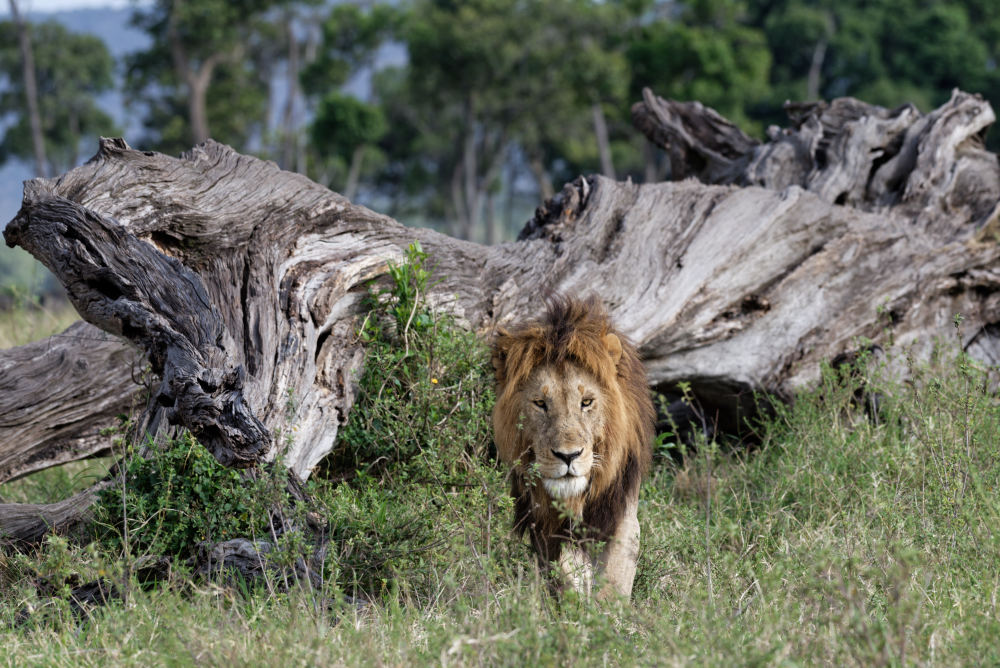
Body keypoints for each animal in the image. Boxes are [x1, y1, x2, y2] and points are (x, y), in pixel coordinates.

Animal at [492, 294, 656, 596]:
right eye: (540, 403)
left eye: (587, 402)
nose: (568, 456)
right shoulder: (546, 527)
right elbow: (566, 573)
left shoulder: (622, 513)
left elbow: (614, 578)